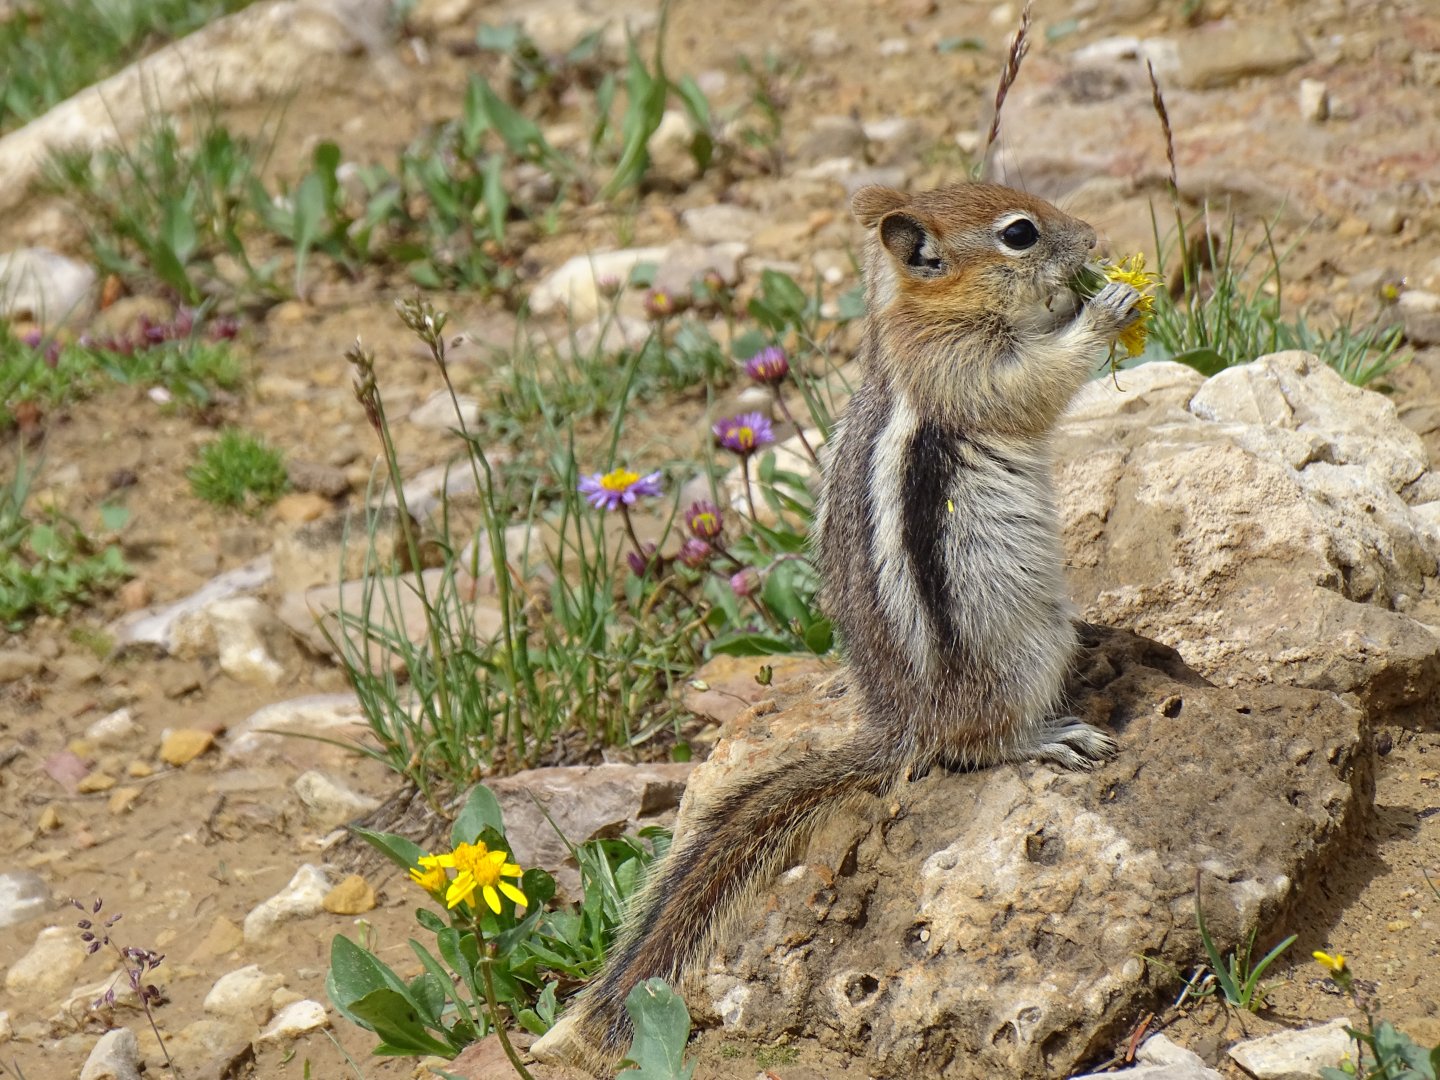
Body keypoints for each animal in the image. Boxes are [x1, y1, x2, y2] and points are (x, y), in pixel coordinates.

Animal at [531, 183, 1143, 1071]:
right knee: (976, 746)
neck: (924, 314)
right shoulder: (961, 368)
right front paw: (1102, 309)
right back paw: (1048, 735)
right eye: (1020, 234)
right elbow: (1030, 387)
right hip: (1024, 651)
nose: (1094, 238)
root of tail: (903, 727)